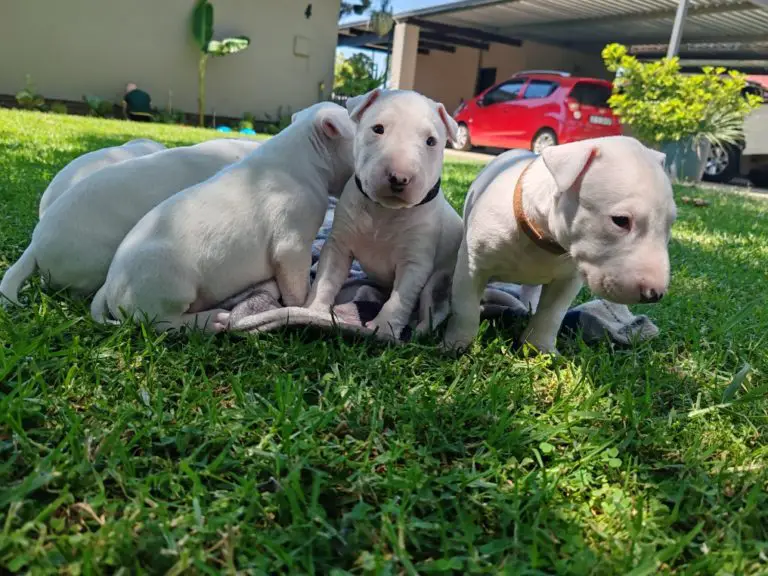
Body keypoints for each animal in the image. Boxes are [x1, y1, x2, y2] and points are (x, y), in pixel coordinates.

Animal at [92, 101, 354, 330]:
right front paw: (301, 307)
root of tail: (110, 286)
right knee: (164, 323)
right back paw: (212, 320)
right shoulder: (292, 245)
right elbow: (297, 288)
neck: (306, 153)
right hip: (168, 286)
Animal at [304, 88, 462, 340]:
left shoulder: (415, 262)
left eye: (431, 141)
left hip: (439, 281)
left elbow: (400, 299)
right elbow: (326, 278)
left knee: (434, 311)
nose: (399, 177)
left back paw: (417, 329)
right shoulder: (338, 245)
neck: (384, 212)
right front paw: (313, 310)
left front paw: (384, 328)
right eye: (378, 129)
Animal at [444, 137, 680, 354]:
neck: (542, 239)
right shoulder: (472, 266)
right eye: (620, 220)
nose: (654, 295)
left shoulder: (567, 279)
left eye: (670, 223)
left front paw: (540, 348)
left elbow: (551, 313)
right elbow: (465, 306)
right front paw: (457, 344)